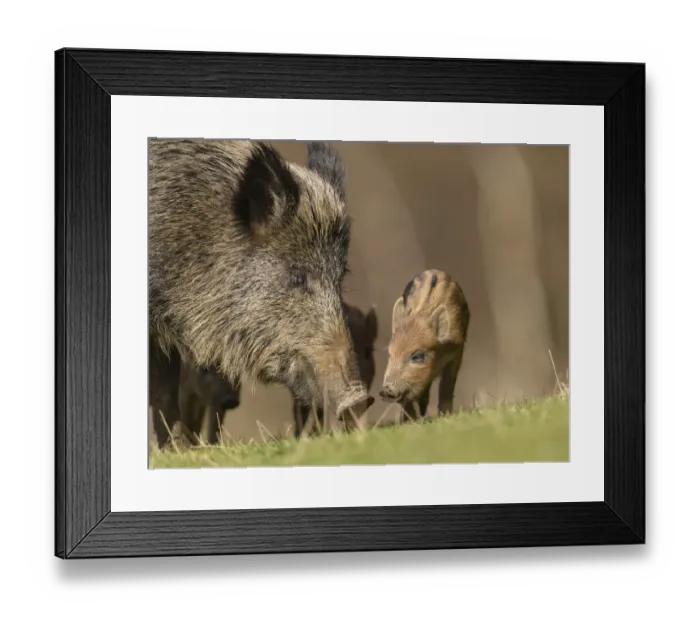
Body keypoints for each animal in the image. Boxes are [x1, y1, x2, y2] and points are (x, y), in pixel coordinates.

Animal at [379, 269, 470, 422]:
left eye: (417, 356)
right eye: (390, 355)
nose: (386, 390)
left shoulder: (457, 350)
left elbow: (447, 385)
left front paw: (446, 415)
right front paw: (410, 422)